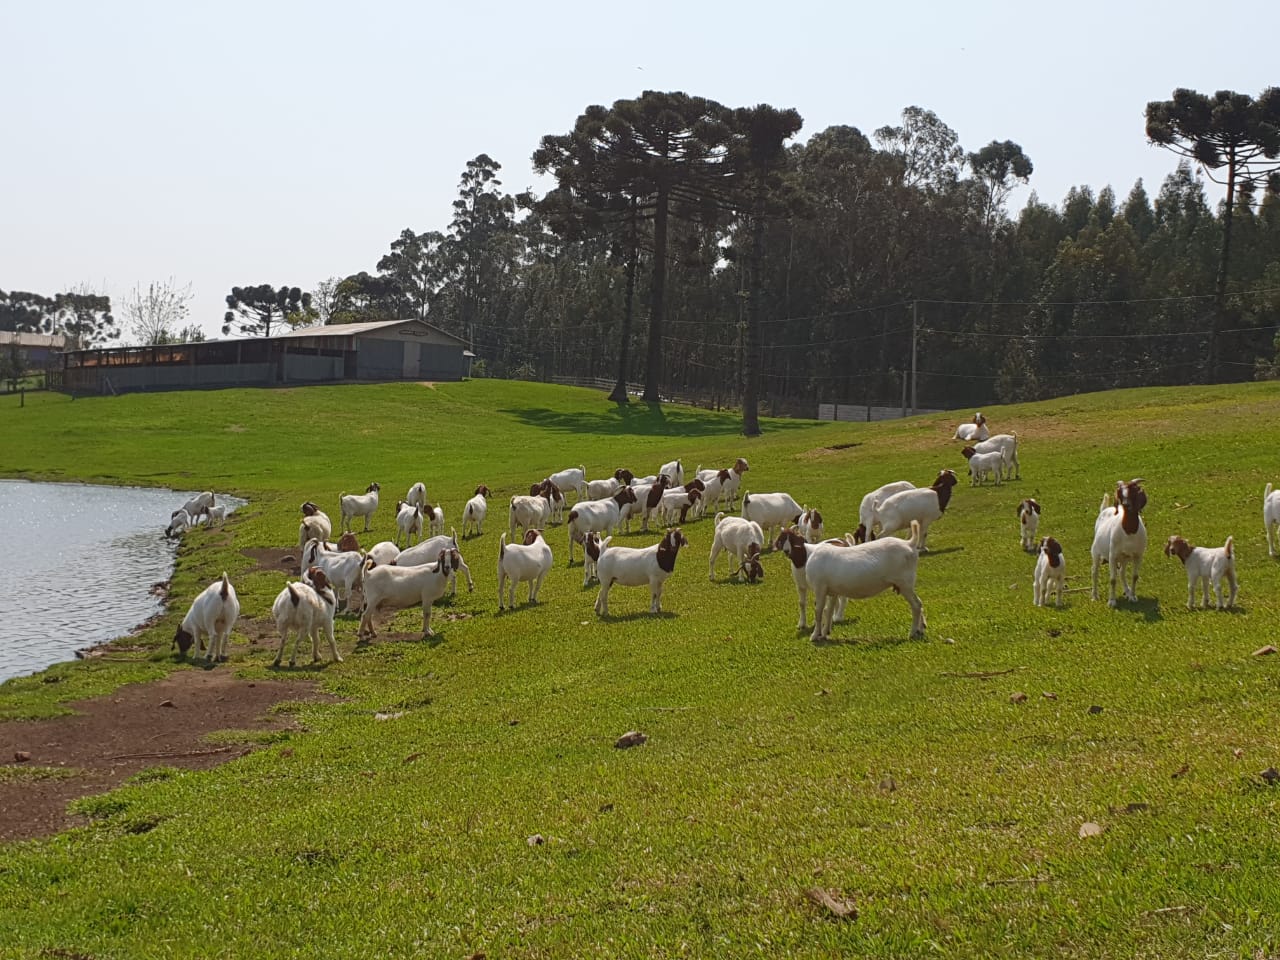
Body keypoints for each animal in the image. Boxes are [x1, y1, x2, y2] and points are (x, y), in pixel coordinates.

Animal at [1090, 481, 1152, 609]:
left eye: (1133, 491)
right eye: (1121, 493)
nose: (1125, 504)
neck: (1129, 532)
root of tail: (1104, 509)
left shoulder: (1138, 555)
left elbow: (1135, 576)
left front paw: (1132, 596)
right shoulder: (1112, 556)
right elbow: (1112, 579)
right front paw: (1112, 601)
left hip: (1124, 558)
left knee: (1122, 572)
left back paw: (1127, 591)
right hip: (1096, 552)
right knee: (1094, 571)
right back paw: (1094, 596)